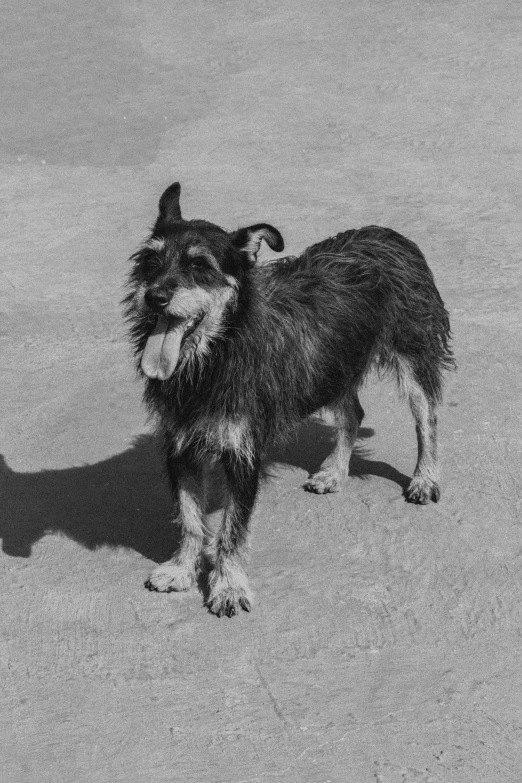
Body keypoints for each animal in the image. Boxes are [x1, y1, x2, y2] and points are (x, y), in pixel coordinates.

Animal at [122, 184, 450, 620]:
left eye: (200, 265)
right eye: (150, 260)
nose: (154, 296)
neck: (215, 355)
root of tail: (389, 234)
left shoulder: (243, 454)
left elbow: (231, 528)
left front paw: (228, 586)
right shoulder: (181, 447)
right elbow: (191, 518)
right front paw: (182, 570)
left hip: (411, 352)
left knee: (426, 417)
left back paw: (425, 478)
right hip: (331, 367)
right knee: (353, 413)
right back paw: (334, 473)